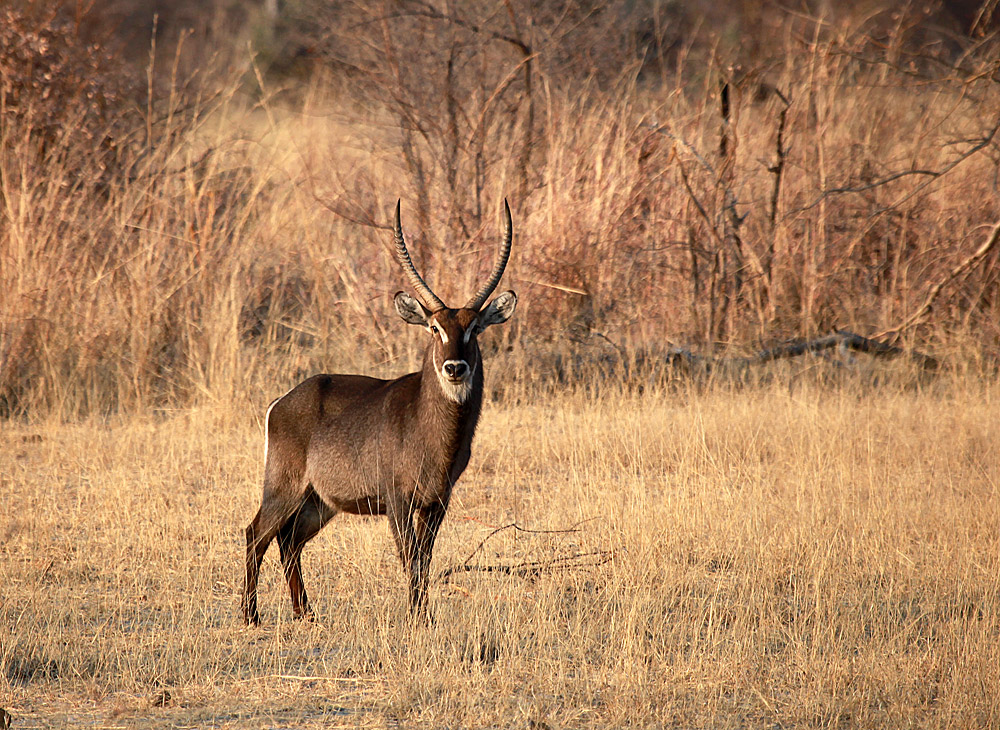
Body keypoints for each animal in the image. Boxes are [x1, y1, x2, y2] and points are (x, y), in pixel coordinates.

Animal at [243, 200, 520, 624]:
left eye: (474, 328)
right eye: (434, 328)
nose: (455, 367)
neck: (434, 432)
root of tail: (283, 401)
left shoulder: (438, 501)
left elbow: (425, 559)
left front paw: (425, 617)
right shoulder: (397, 499)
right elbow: (410, 559)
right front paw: (418, 619)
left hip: (320, 501)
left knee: (289, 541)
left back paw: (306, 613)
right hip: (283, 485)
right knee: (256, 533)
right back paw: (251, 615)